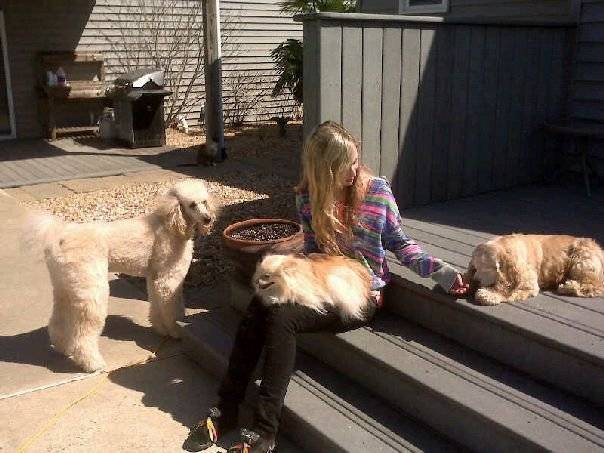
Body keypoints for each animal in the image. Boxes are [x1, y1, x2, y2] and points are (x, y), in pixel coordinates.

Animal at [24, 179, 216, 372]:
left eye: (205, 202)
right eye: (191, 205)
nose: (208, 218)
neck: (171, 224)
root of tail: (60, 238)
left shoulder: (155, 276)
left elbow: (156, 303)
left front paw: (160, 328)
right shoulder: (169, 278)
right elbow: (173, 308)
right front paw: (175, 331)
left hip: (65, 287)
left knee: (58, 320)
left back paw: (63, 347)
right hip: (92, 290)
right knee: (84, 334)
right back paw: (93, 363)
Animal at [465, 234, 604, 305]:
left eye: (487, 268)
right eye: (475, 268)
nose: (475, 282)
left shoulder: (529, 284)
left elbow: (509, 291)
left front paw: (488, 294)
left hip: (581, 261)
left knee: (595, 287)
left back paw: (568, 286)